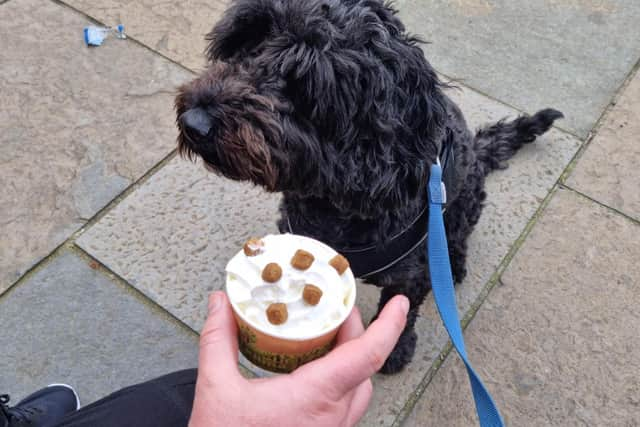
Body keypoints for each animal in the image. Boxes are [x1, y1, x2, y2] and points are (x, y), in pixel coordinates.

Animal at [175, 0, 560, 374]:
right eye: (245, 45)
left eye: (303, 83)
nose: (195, 122)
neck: (333, 200)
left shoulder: (412, 275)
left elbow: (403, 309)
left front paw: (396, 348)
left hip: (464, 201)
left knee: (460, 233)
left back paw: (455, 260)